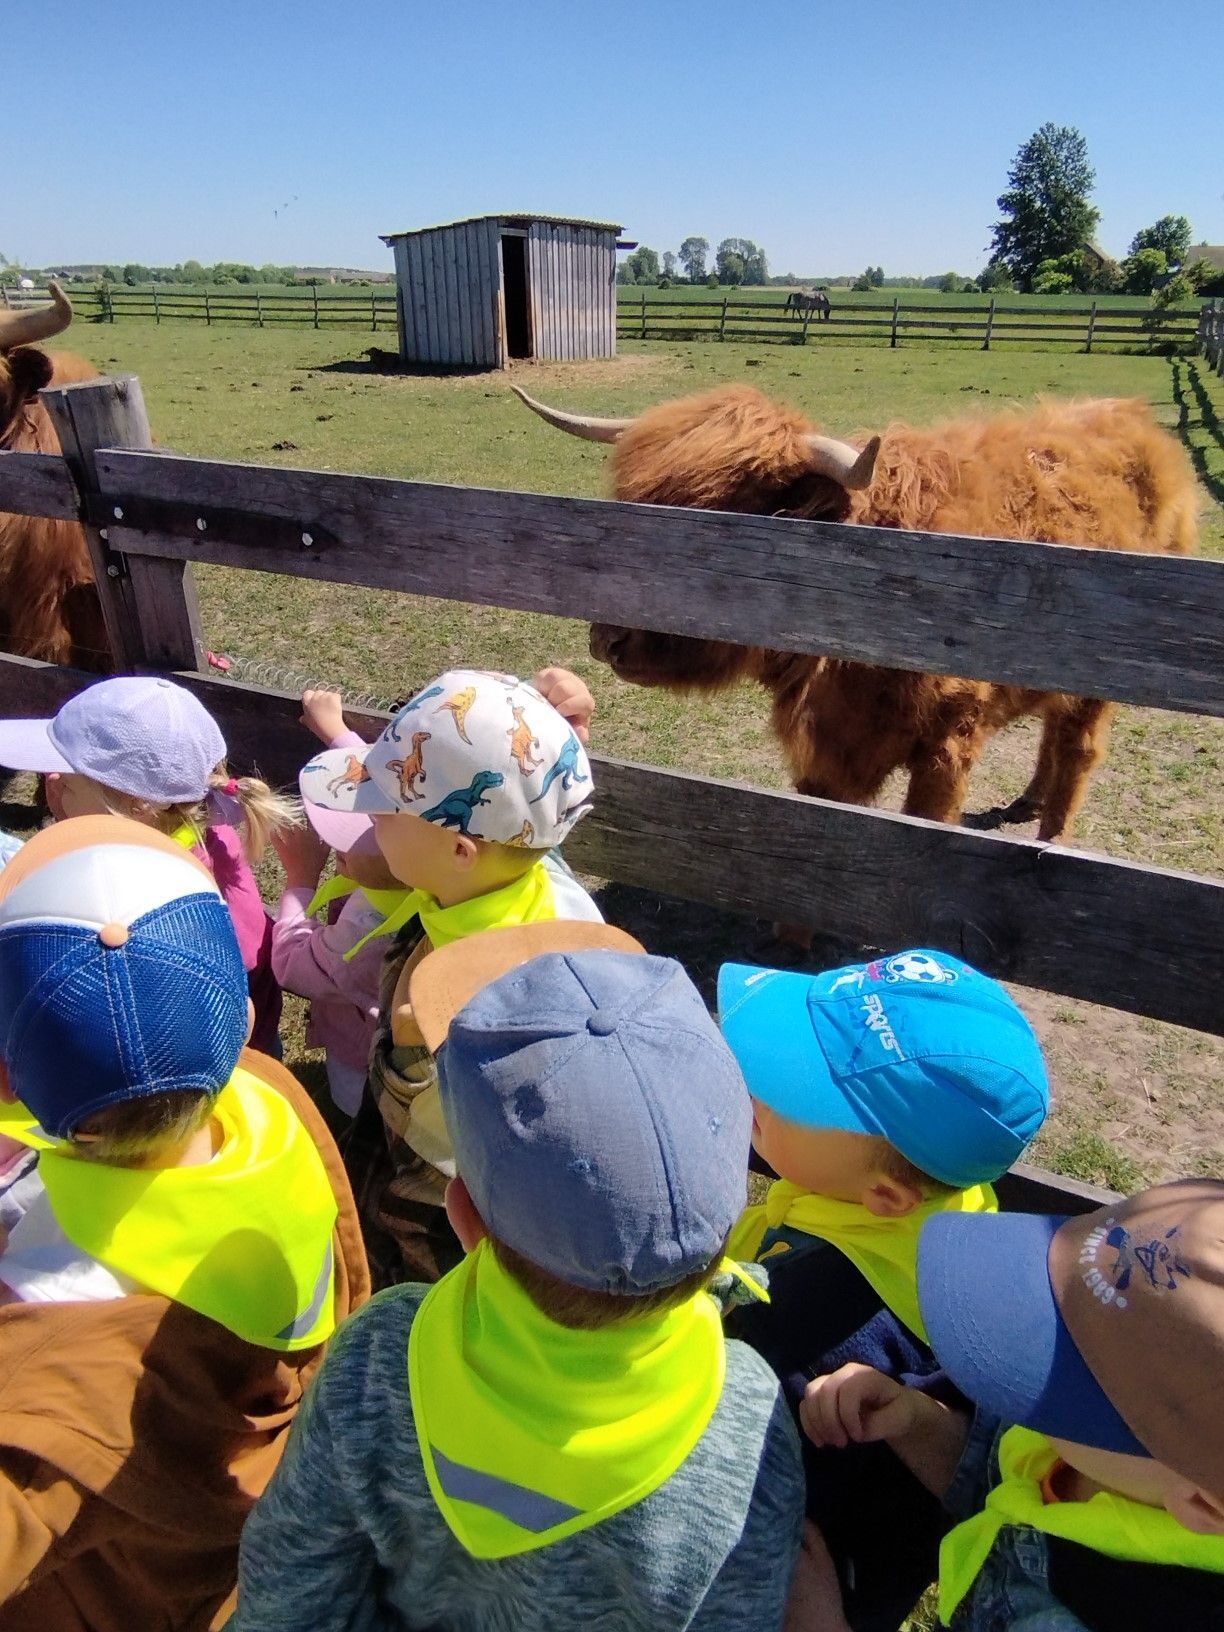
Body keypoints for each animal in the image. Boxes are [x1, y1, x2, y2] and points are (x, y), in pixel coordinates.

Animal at [512, 383, 1199, 843]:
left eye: (719, 528)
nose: (606, 640)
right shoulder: (830, 746)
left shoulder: (948, 745)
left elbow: (926, 826)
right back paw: (1026, 804)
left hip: (1102, 683)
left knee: (1078, 746)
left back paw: (1051, 839)